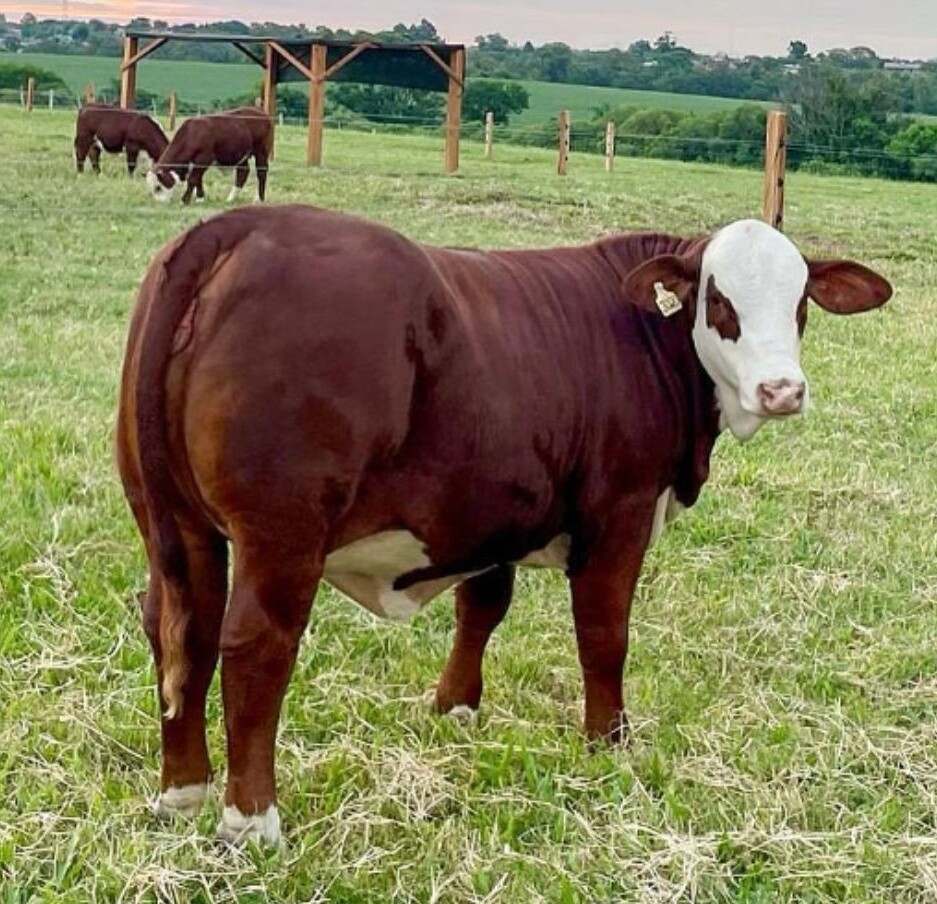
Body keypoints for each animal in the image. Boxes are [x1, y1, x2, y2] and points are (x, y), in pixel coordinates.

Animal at [116, 204, 891, 845]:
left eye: (799, 301)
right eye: (718, 299)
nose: (782, 390)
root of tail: (239, 225)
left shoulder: (490, 511)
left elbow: (481, 607)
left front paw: (455, 709)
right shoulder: (620, 512)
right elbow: (604, 635)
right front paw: (607, 741)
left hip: (174, 523)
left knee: (179, 627)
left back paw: (183, 792)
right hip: (280, 537)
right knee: (254, 646)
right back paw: (251, 820)